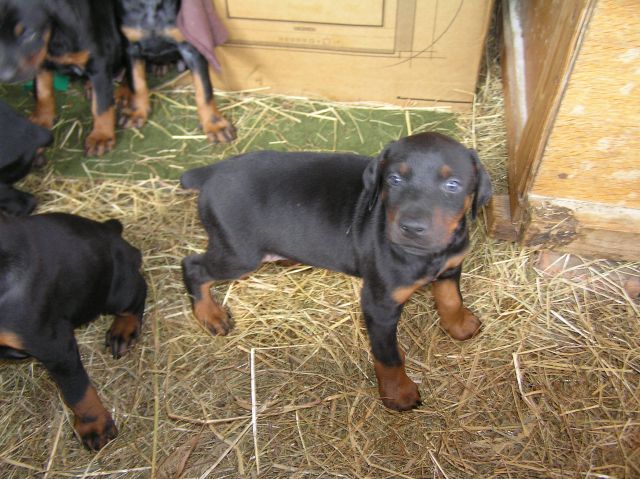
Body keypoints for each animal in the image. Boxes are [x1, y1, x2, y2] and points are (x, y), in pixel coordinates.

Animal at [0, 0, 122, 156]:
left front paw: (101, 136)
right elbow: (42, 92)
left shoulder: (98, 61)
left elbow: (101, 104)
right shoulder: (40, 60)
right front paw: (42, 118)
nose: (5, 76)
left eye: (29, 33)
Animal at [0, 214, 146, 450]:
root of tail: (110, 230)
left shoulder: (55, 346)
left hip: (116, 290)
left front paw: (95, 426)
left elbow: (76, 389)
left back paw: (124, 330)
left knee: (138, 291)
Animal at [115, 0, 235, 142]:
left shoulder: (190, 47)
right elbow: (136, 83)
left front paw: (215, 124)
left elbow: (204, 89)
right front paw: (136, 111)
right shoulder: (131, 47)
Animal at [182, 133, 492, 410]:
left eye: (452, 185)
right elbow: (388, 356)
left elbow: (451, 298)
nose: (412, 228)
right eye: (394, 179)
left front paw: (460, 325)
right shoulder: (379, 304)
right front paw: (398, 393)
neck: (428, 256)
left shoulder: (452, 266)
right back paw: (210, 315)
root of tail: (213, 171)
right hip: (239, 254)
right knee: (192, 266)